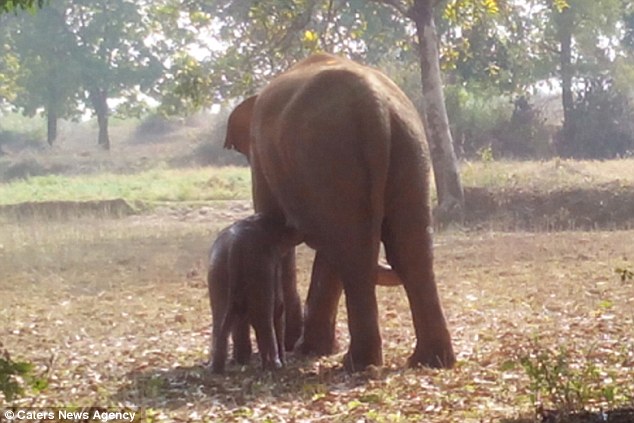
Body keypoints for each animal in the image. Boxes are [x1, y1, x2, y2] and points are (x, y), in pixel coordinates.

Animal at [205, 215, 298, 374]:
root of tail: (235, 245)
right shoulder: (271, 263)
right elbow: (278, 309)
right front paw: (282, 363)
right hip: (258, 270)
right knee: (265, 316)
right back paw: (275, 365)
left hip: (217, 271)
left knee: (220, 317)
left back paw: (216, 368)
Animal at [225, 53, 452, 372]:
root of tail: (373, 105)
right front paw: (310, 348)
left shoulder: (262, 158)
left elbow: (276, 232)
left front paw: (299, 347)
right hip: (410, 150)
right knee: (407, 250)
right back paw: (430, 361)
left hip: (331, 154)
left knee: (355, 252)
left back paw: (359, 363)